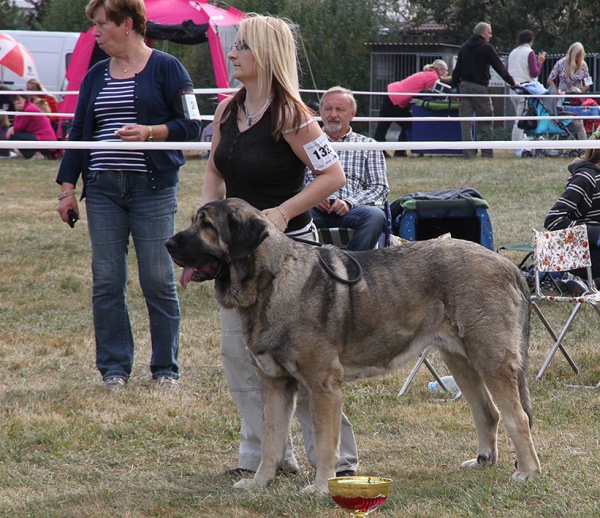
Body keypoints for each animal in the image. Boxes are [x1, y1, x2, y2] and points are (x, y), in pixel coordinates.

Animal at [166, 197, 540, 494]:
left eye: (206, 226)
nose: (168, 243)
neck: (271, 281)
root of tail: (508, 266)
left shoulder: (323, 387)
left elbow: (325, 444)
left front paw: (320, 488)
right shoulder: (275, 386)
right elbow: (272, 441)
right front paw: (260, 483)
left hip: (491, 360)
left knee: (517, 417)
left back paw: (527, 473)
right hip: (459, 359)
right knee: (488, 412)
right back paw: (483, 461)